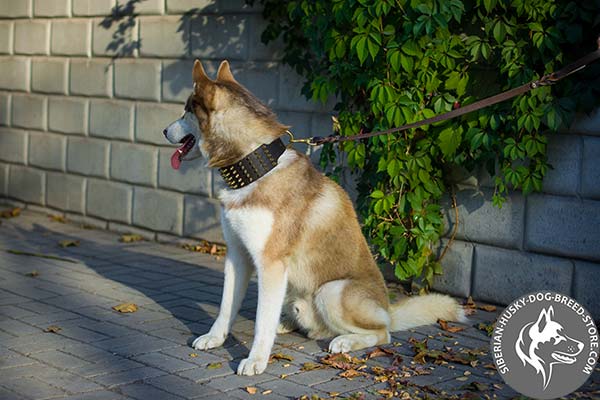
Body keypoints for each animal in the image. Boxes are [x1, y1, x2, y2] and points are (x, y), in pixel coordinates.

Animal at [163, 58, 464, 376]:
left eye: (186, 110)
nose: (164, 131)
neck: (255, 167)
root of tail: (388, 309)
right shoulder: (237, 255)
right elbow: (225, 306)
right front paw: (214, 338)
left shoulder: (270, 264)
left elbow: (260, 322)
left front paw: (256, 360)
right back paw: (287, 323)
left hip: (331, 291)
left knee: (382, 333)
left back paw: (345, 341)